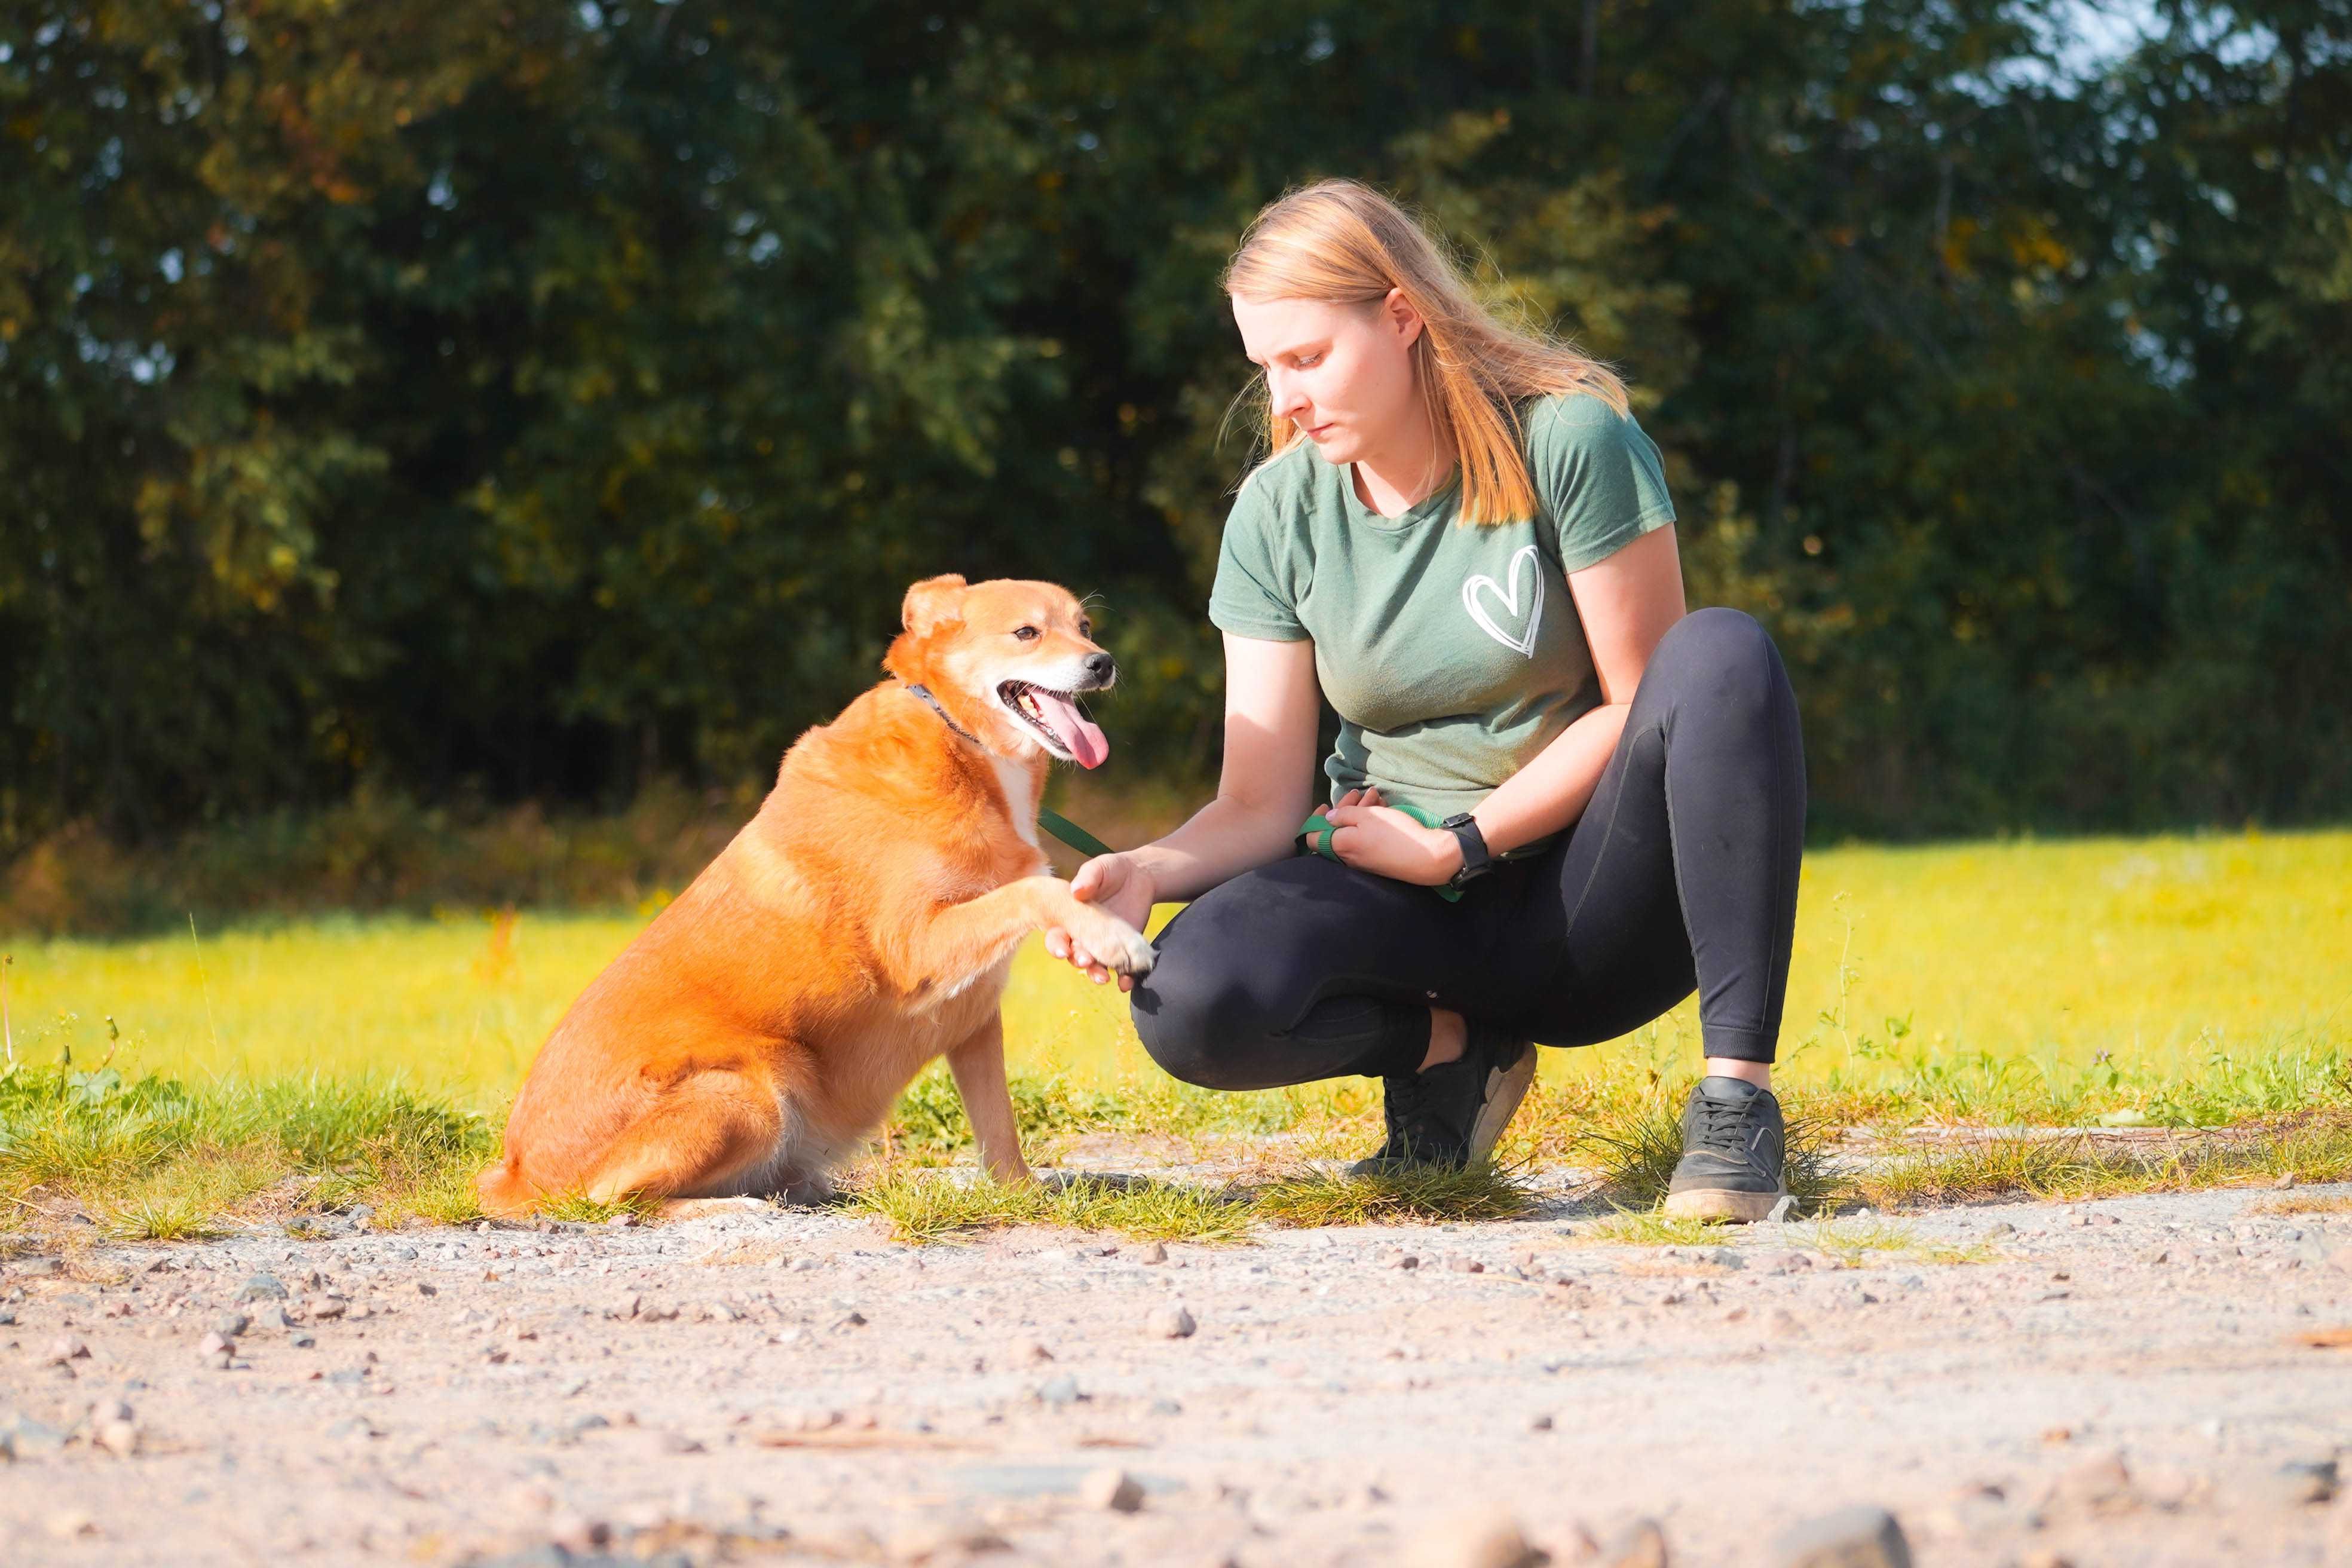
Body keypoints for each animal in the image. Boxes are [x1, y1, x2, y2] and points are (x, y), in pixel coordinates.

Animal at [482, 575, 1162, 1212]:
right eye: (1027, 632)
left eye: (1085, 625)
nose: (1103, 662)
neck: (958, 741)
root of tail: (515, 1175)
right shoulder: (914, 949)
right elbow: (1037, 887)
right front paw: (1113, 934)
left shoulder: (973, 1016)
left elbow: (1000, 1132)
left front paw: (1021, 1197)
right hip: (758, 1086)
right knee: (617, 1199)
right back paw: (743, 1204)